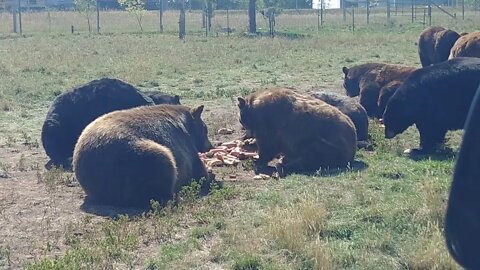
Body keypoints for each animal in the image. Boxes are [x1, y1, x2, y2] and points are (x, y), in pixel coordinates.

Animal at [72, 104, 212, 208]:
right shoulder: (186, 146)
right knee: (163, 161)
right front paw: (209, 174)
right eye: (205, 129)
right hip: (136, 159)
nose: (210, 146)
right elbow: (199, 171)